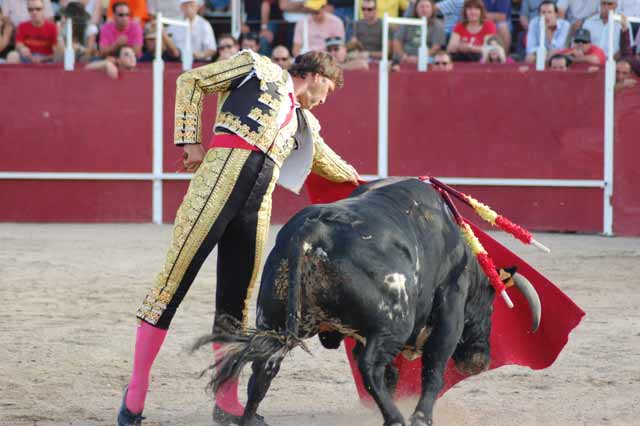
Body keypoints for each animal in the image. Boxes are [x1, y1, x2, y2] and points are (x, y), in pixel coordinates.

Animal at [198, 177, 544, 426]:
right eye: (490, 305)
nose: (478, 360)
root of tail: (314, 229)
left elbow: (394, 375)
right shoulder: (449, 308)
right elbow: (433, 368)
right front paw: (421, 418)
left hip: (274, 320)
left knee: (264, 369)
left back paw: (249, 418)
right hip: (393, 324)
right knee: (369, 367)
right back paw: (395, 419)